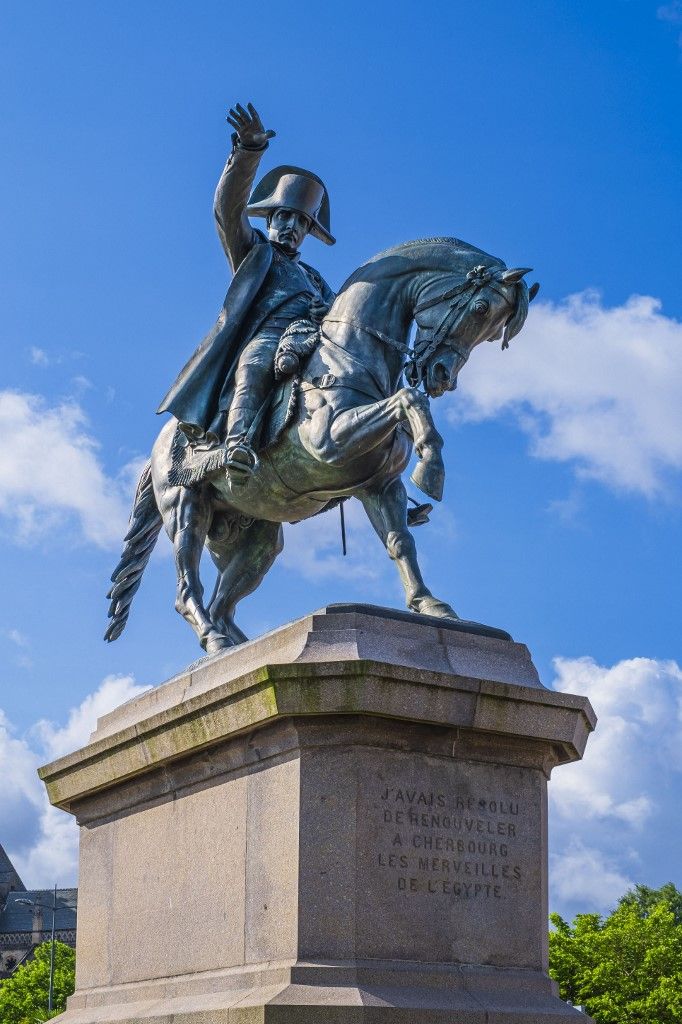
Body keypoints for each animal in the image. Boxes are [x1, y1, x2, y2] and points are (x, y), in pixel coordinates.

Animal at [103, 238, 532, 651]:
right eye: (480, 308)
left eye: (494, 329)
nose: (441, 376)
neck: (350, 353)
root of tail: (159, 446)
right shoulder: (332, 441)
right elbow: (409, 399)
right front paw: (431, 469)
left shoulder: (380, 486)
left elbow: (401, 543)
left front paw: (429, 605)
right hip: (186, 509)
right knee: (187, 590)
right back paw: (215, 639)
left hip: (256, 540)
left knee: (223, 602)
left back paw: (241, 648)